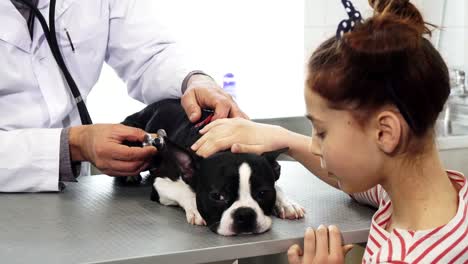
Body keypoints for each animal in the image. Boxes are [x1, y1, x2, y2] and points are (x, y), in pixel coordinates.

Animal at [121, 99, 304, 235]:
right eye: (217, 196)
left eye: (263, 193)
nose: (245, 214)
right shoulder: (160, 182)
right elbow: (183, 189)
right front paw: (195, 208)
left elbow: (278, 186)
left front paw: (287, 203)